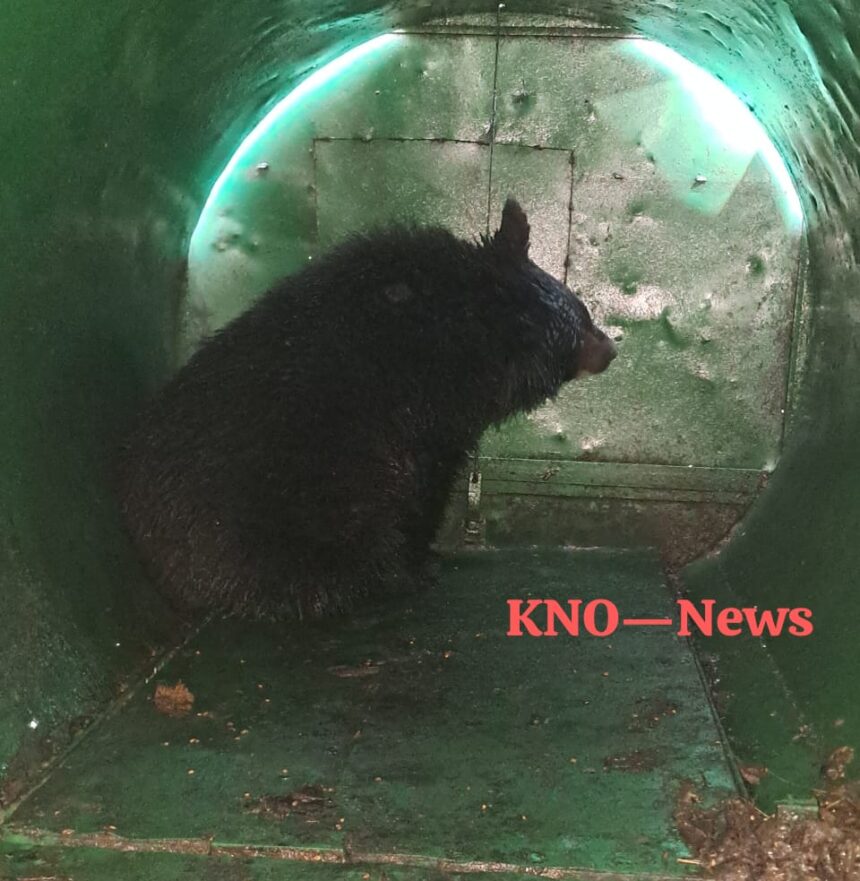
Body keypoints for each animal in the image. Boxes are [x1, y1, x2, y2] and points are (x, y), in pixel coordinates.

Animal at [117, 199, 616, 620]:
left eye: (585, 313)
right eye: (572, 340)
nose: (611, 350)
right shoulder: (422, 417)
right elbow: (422, 490)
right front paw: (419, 561)